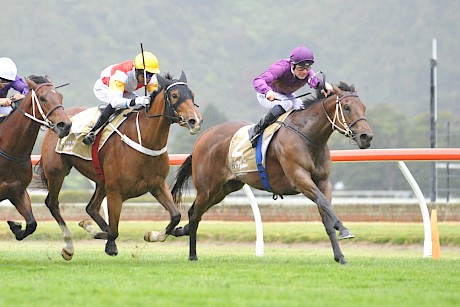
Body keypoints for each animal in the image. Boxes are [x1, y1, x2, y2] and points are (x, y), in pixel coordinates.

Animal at [0, 76, 72, 242]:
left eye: (60, 97)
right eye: (43, 98)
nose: (65, 125)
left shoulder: (17, 192)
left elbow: (32, 224)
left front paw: (15, 226)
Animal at [40, 71, 203, 260]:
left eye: (192, 95)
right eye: (175, 95)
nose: (195, 121)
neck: (145, 140)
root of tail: (59, 121)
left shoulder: (157, 185)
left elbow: (175, 216)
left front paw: (152, 235)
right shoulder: (115, 192)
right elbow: (113, 231)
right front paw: (93, 231)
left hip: (101, 180)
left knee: (91, 207)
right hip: (57, 172)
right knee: (52, 203)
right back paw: (69, 246)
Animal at [172, 83, 374, 266]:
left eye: (363, 107)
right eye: (347, 108)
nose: (366, 137)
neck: (308, 136)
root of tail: (202, 138)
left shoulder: (323, 182)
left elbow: (326, 216)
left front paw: (340, 256)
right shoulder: (300, 178)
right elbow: (324, 203)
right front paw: (344, 229)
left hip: (223, 189)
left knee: (195, 212)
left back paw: (180, 231)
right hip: (207, 188)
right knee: (194, 214)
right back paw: (192, 254)